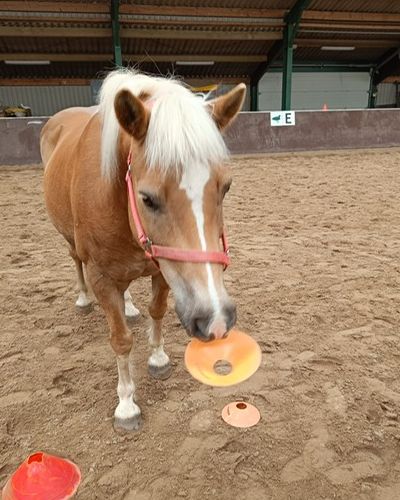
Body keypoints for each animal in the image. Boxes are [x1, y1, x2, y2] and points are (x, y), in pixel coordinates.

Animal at [41, 69, 247, 430]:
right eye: (147, 198)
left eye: (225, 187)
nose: (216, 319)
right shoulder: (101, 278)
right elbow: (121, 340)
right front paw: (126, 404)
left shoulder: (163, 269)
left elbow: (157, 311)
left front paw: (158, 358)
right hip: (70, 242)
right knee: (74, 261)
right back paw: (82, 299)